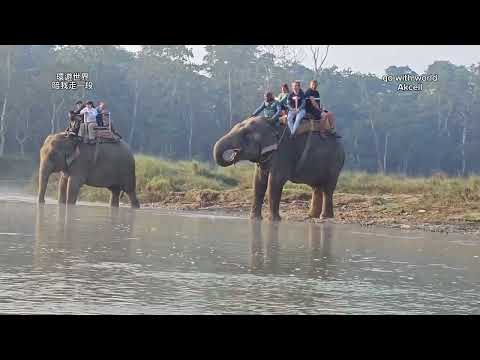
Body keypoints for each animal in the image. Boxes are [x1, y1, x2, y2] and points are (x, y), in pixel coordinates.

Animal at [214, 116, 344, 221]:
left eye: (245, 134)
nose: (233, 154)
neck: (271, 123)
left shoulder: (284, 153)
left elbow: (275, 181)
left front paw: (274, 220)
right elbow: (258, 182)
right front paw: (254, 219)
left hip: (335, 164)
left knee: (328, 188)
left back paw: (325, 217)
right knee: (317, 188)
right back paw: (312, 216)